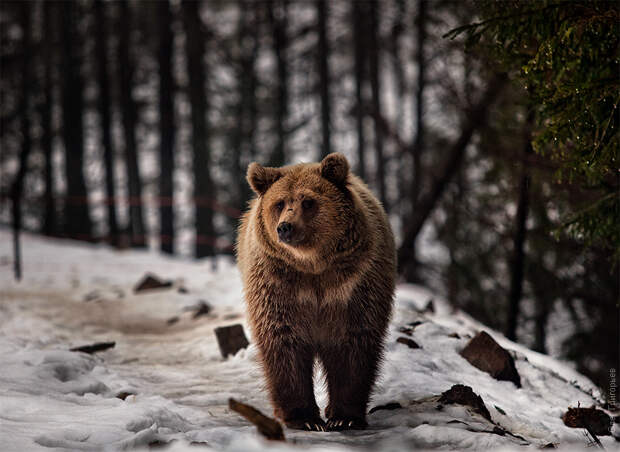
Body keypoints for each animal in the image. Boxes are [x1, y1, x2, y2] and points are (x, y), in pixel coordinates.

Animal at [235, 154, 394, 432]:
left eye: (308, 201)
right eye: (279, 203)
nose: (285, 227)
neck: (313, 265)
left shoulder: (356, 284)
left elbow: (355, 341)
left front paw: (345, 416)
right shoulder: (278, 285)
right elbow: (283, 340)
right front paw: (304, 418)